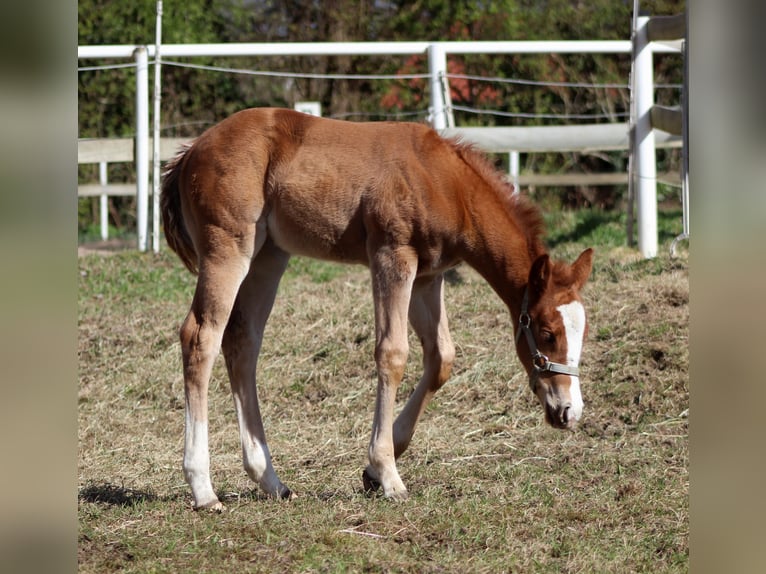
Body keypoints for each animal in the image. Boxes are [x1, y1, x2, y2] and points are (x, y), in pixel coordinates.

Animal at [160, 107, 593, 510]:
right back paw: (203, 489)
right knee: (201, 336)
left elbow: (441, 357)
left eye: (581, 333)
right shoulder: (392, 256)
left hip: (269, 256)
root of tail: (190, 153)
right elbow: (392, 353)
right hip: (228, 248)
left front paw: (373, 470)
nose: (569, 411)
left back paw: (270, 480)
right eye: (547, 332)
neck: (445, 182)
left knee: (243, 341)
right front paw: (387, 474)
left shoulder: (427, 276)